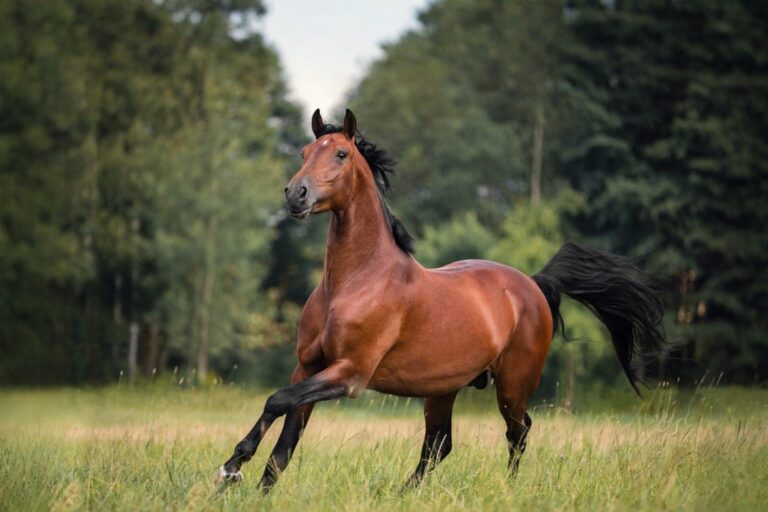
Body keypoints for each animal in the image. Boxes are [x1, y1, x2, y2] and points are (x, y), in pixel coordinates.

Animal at [217, 108, 666, 490]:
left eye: (341, 153)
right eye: (305, 153)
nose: (296, 194)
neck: (353, 283)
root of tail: (534, 284)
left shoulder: (350, 375)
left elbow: (277, 401)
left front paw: (230, 469)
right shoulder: (308, 367)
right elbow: (285, 440)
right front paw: (248, 483)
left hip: (513, 385)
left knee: (518, 432)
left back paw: (507, 488)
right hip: (442, 389)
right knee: (439, 443)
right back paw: (403, 494)